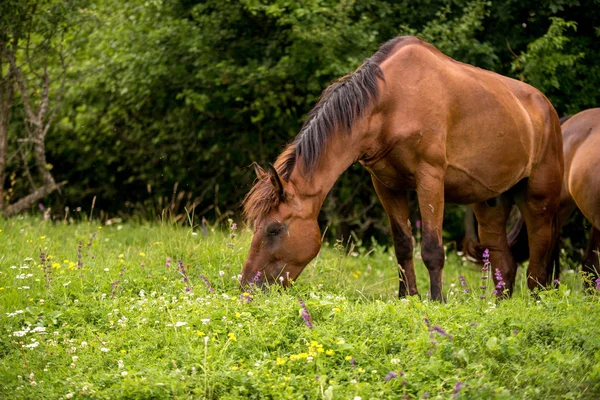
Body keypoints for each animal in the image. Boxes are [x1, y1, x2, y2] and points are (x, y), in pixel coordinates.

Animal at [239, 36, 564, 300]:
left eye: (274, 229)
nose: (247, 287)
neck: (391, 103)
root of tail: (547, 109)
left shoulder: (430, 178)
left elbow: (432, 248)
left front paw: (437, 301)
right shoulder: (386, 185)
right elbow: (403, 245)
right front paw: (407, 297)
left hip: (539, 201)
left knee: (539, 261)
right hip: (491, 205)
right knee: (505, 265)